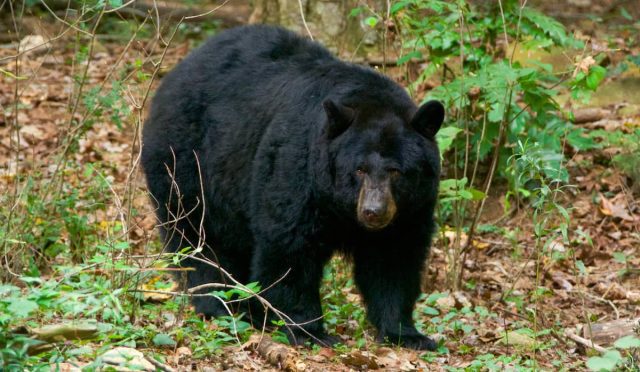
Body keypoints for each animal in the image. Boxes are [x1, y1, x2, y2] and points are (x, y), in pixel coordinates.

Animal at [142, 24, 444, 350]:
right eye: (359, 169)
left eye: (396, 171)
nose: (373, 212)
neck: (339, 207)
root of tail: (176, 71)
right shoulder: (298, 171)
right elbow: (290, 247)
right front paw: (308, 329)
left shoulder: (409, 211)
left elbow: (393, 260)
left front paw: (406, 333)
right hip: (188, 164)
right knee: (200, 238)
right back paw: (223, 304)